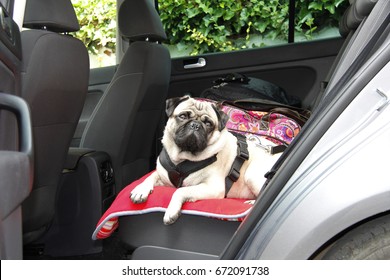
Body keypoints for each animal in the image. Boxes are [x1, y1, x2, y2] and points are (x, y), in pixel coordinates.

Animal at [130, 95, 280, 224]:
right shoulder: (163, 176)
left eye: (208, 123)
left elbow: (180, 191)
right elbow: (150, 177)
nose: (195, 125)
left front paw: (171, 211)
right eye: (182, 116)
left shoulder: (213, 188)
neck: (182, 159)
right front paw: (140, 190)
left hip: (251, 174)